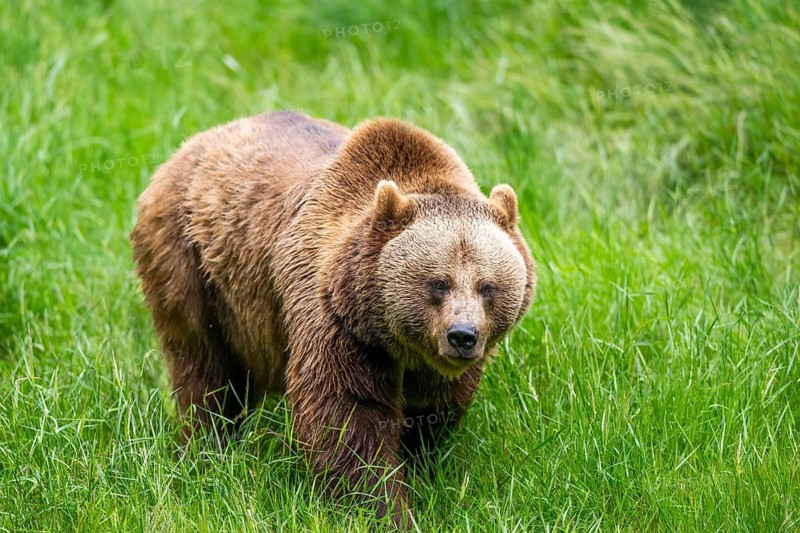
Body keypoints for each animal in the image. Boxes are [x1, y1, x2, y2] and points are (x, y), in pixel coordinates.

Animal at [130, 110, 536, 527]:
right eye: (438, 283)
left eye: (488, 286)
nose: (462, 336)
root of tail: (190, 145)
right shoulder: (336, 319)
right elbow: (347, 416)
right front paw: (383, 509)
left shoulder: (428, 363)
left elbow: (430, 409)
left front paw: (420, 469)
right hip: (191, 264)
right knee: (205, 368)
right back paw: (207, 445)